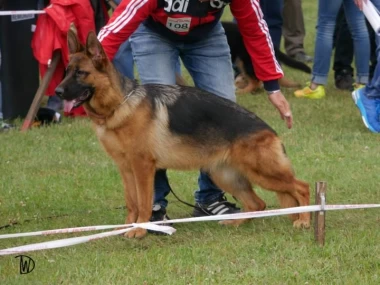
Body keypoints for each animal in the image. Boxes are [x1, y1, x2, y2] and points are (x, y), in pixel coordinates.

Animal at [56, 30, 312, 237]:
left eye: (80, 73)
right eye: (66, 71)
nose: (57, 91)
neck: (119, 104)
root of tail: (270, 131)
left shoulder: (143, 167)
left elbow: (144, 203)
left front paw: (140, 230)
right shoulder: (125, 168)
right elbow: (131, 202)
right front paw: (127, 227)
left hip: (263, 172)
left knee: (301, 187)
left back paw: (305, 220)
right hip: (225, 174)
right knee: (257, 204)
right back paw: (236, 223)